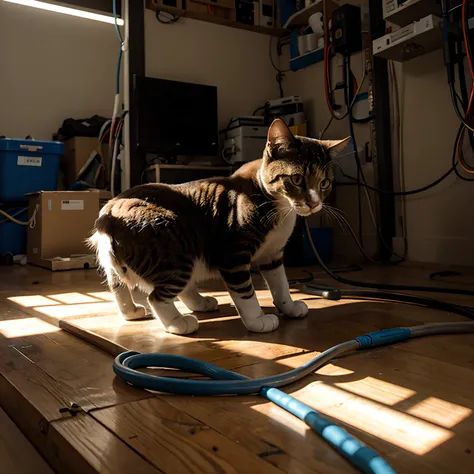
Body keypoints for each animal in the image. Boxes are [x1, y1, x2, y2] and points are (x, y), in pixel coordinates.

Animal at [88, 118, 348, 334]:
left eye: (325, 183)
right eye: (296, 179)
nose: (314, 203)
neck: (280, 210)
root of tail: (108, 213)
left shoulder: (273, 253)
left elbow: (281, 283)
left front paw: (290, 307)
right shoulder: (233, 253)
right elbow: (244, 291)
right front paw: (257, 320)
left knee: (119, 285)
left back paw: (144, 310)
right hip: (174, 246)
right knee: (157, 295)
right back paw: (178, 323)